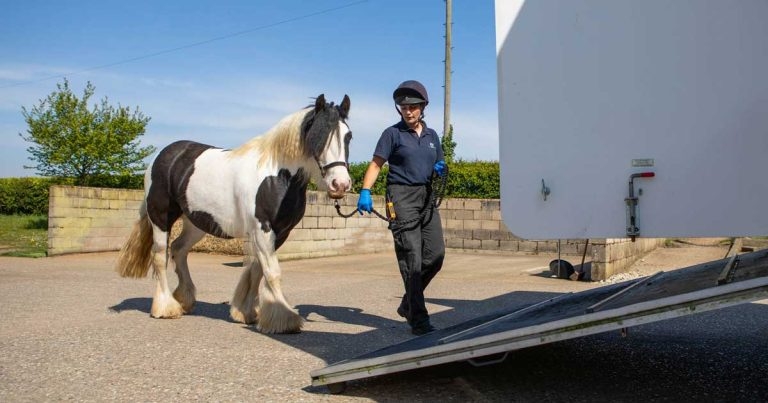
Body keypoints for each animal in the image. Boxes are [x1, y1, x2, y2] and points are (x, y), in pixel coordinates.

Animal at [115, 94, 352, 334]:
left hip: (196, 223)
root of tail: (162, 156)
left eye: (348, 136)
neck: (276, 176)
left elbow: (258, 270)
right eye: (319, 135)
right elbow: (272, 272)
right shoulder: (262, 229)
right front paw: (284, 319)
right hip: (160, 217)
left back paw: (184, 299)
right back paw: (166, 308)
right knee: (160, 255)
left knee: (179, 249)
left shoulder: (280, 233)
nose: (340, 184)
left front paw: (246, 312)